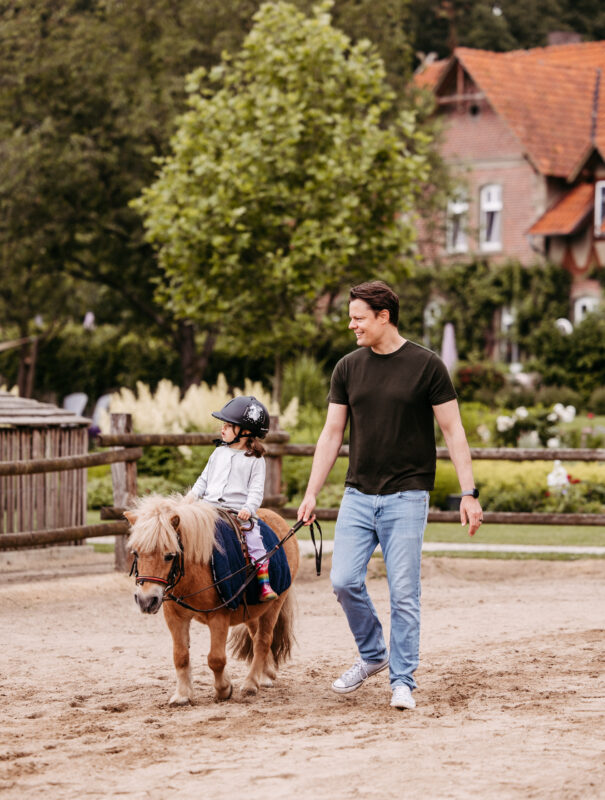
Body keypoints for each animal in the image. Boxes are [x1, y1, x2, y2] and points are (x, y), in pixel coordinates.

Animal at [124, 492, 299, 704]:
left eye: (169, 556)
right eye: (136, 553)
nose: (146, 600)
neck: (195, 571)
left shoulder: (219, 616)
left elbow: (216, 659)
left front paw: (224, 689)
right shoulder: (175, 616)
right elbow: (180, 655)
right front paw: (182, 695)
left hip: (274, 605)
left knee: (263, 641)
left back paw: (251, 683)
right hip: (254, 610)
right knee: (256, 637)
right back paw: (265, 676)